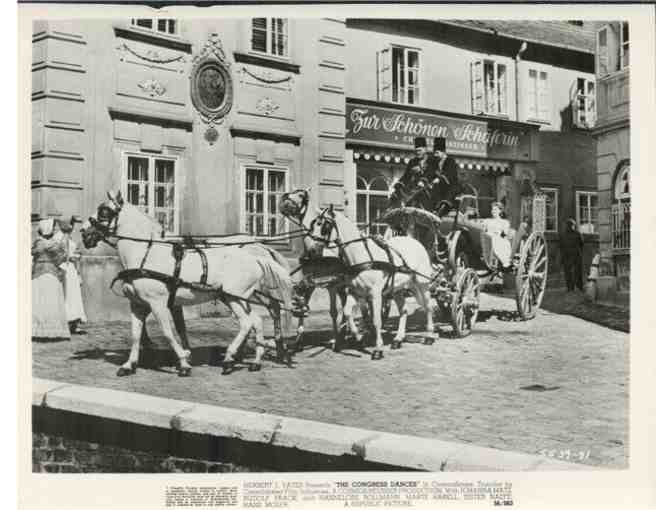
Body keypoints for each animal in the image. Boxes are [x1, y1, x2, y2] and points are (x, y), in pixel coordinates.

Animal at [80, 191, 292, 374]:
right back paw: (255, 361)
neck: (145, 254)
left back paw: (230, 358)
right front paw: (128, 365)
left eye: (104, 211)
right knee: (256, 320)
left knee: (248, 323)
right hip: (236, 298)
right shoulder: (138, 304)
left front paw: (183, 362)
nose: (83, 232)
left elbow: (168, 332)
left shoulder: (158, 303)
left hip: (235, 298)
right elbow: (135, 334)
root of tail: (256, 255)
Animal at [302, 200, 434, 358]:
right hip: (397, 289)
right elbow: (347, 313)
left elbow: (376, 320)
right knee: (404, 310)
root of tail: (414, 241)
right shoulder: (355, 292)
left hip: (422, 283)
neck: (361, 256)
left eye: (325, 226)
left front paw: (378, 349)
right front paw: (359, 339)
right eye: (312, 225)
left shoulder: (375, 294)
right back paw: (398, 339)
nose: (311, 251)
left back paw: (429, 336)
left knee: (428, 307)